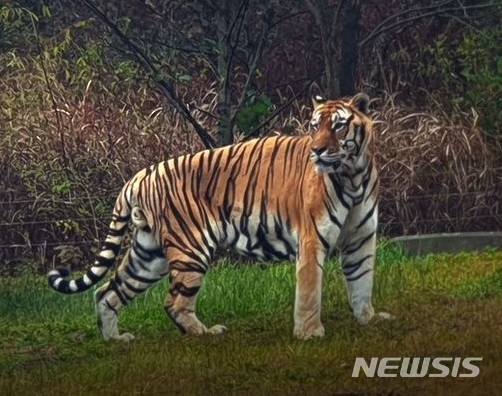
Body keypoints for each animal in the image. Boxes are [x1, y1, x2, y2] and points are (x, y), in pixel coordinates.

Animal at [47, 92, 392, 340]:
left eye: (338, 125)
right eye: (314, 126)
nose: (317, 151)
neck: (353, 175)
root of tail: (139, 176)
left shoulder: (361, 239)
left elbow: (362, 280)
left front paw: (369, 318)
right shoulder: (312, 239)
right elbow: (310, 290)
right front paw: (309, 334)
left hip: (149, 255)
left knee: (107, 291)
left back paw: (115, 339)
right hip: (191, 249)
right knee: (173, 303)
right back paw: (206, 333)